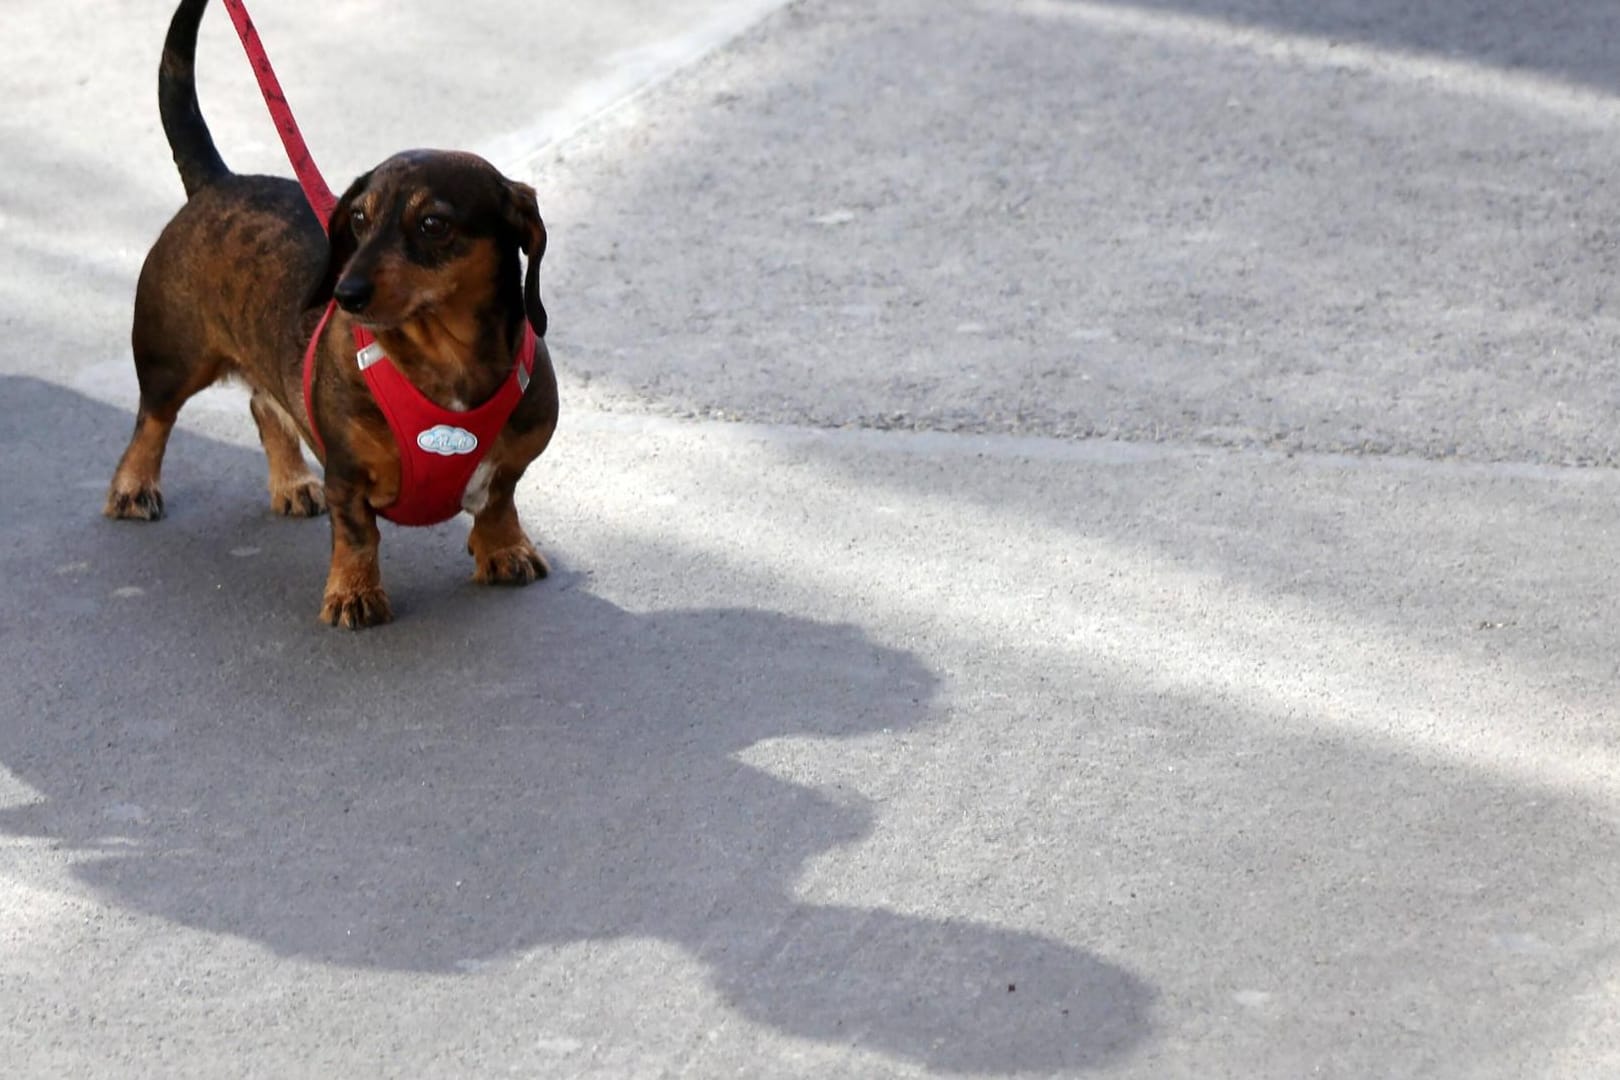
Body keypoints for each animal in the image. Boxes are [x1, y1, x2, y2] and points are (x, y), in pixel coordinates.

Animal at [107, 0, 560, 634]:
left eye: (433, 224)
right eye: (361, 219)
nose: (344, 294)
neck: (446, 358)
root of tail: (218, 181)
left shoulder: (517, 455)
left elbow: (498, 499)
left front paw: (503, 549)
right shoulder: (347, 472)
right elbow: (358, 535)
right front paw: (354, 594)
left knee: (263, 403)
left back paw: (293, 482)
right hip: (173, 357)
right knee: (153, 419)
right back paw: (133, 486)